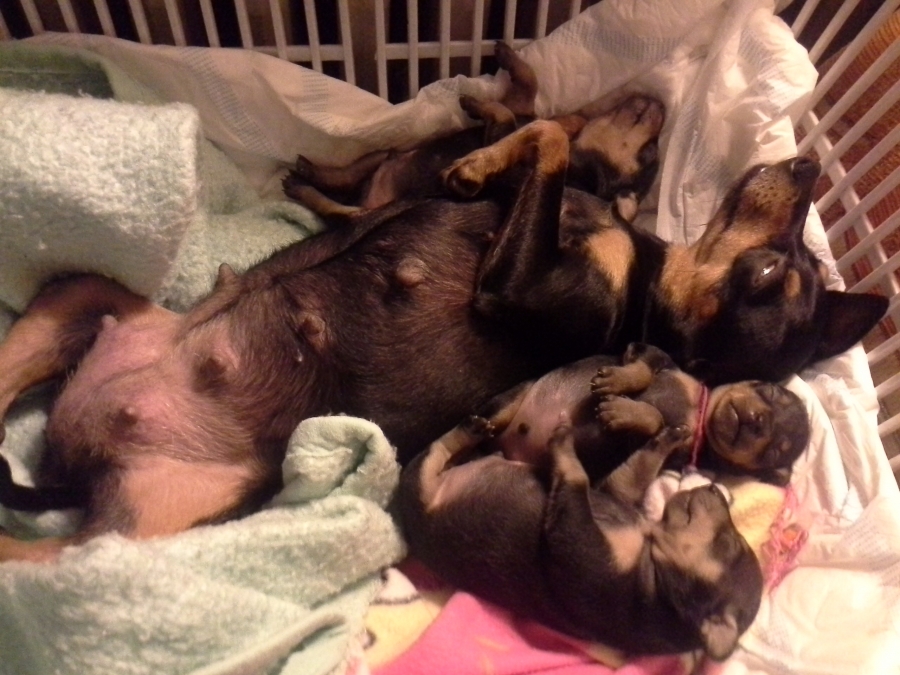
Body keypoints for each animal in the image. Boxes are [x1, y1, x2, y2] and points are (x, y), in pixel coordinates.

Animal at [0, 118, 886, 562]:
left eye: (770, 275)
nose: (807, 169)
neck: (645, 292)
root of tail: (75, 458)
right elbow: (545, 133)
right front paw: (482, 162)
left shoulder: (516, 288)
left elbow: (553, 141)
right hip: (71, 302)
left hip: (124, 536)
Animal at [397, 418, 764, 660]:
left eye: (733, 545)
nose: (716, 489)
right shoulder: (614, 492)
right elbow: (636, 469)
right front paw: (669, 437)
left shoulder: (575, 542)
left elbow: (576, 477)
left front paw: (563, 441)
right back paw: (473, 431)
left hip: (419, 486)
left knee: (432, 453)